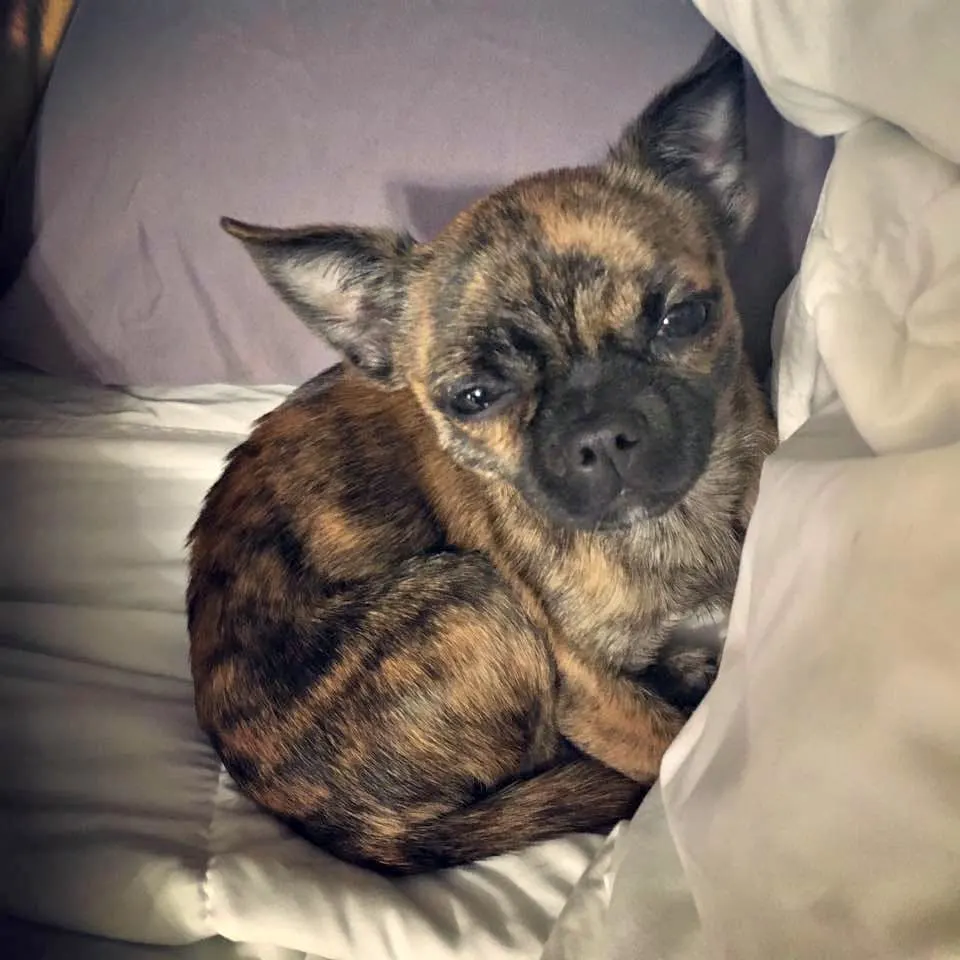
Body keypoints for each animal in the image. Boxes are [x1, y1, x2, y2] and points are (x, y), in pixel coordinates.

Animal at [188, 35, 780, 876]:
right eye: (473, 397)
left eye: (684, 318)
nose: (598, 430)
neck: (668, 528)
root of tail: (363, 834)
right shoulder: (593, 699)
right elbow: (671, 753)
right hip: (478, 593)